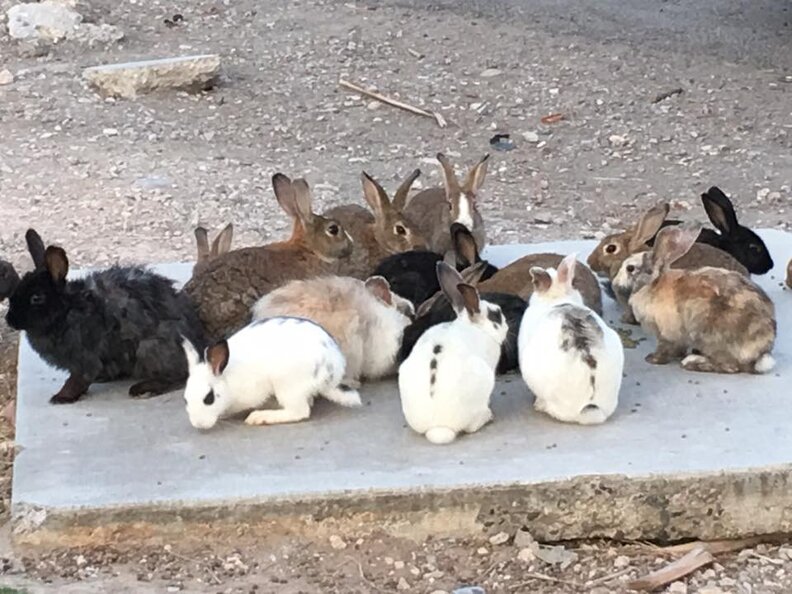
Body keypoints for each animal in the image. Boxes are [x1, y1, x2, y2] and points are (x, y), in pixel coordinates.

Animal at [5, 229, 206, 404]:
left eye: (36, 298)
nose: (10, 321)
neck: (67, 310)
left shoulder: (84, 359)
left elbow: (77, 380)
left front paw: (61, 397)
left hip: (149, 348)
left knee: (175, 378)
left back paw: (142, 389)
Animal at [182, 316, 361, 430]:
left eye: (209, 398)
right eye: (185, 399)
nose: (198, 424)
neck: (226, 378)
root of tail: (332, 374)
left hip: (288, 386)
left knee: (300, 411)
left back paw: (259, 417)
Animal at [398, 262, 508, 445]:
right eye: (496, 315)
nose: (507, 326)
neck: (473, 326)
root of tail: (439, 429)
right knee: (472, 426)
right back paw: (488, 416)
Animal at [627, 224, 776, 374]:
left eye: (630, 268)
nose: (625, 272)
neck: (653, 283)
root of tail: (760, 354)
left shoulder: (667, 333)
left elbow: (665, 348)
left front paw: (652, 359)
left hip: (711, 337)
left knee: (730, 366)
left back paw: (692, 363)